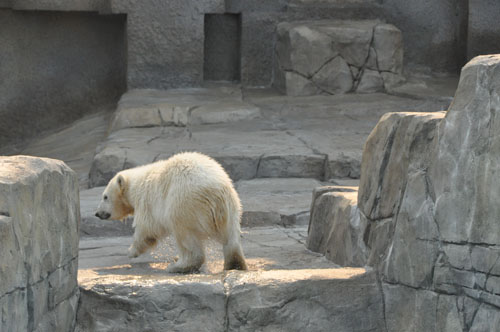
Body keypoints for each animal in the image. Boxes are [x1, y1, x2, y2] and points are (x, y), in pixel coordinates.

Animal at [94, 152, 246, 274]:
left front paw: (131, 251)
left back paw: (178, 266)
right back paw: (235, 265)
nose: (97, 213)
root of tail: (216, 192)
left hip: (184, 204)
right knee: (231, 239)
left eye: (105, 197)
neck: (136, 185)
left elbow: (147, 229)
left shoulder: (147, 200)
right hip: (233, 207)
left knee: (184, 234)